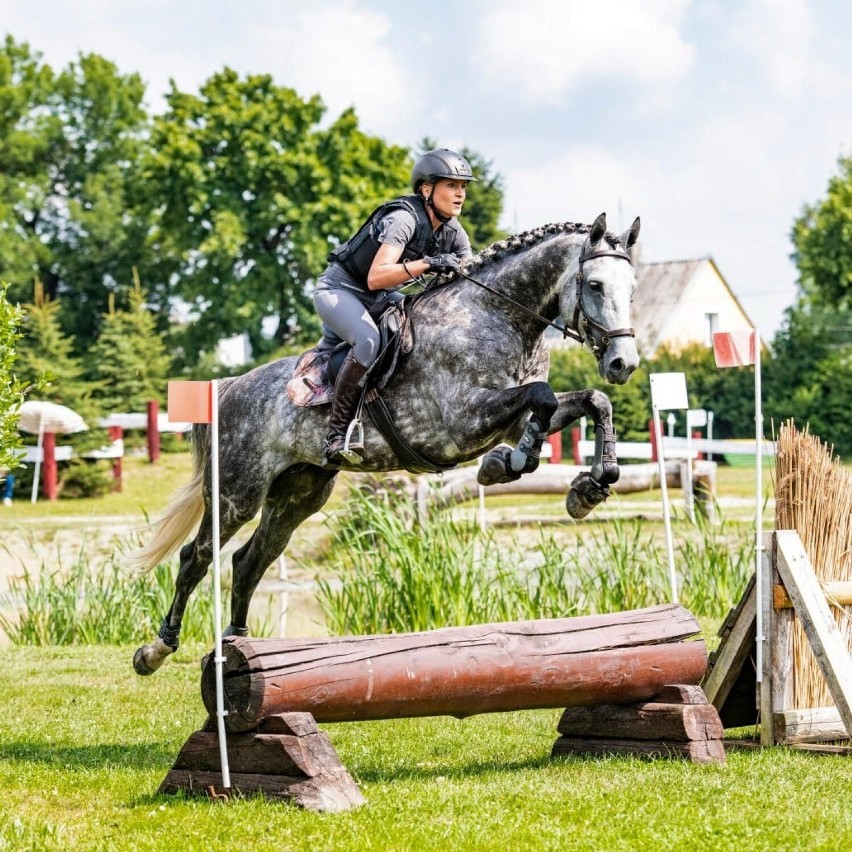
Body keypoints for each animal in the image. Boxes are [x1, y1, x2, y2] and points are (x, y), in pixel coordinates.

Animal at [131, 211, 640, 672]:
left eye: (632, 290)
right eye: (595, 285)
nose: (623, 363)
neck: (503, 318)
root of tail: (230, 387)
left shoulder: (506, 417)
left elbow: (587, 401)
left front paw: (587, 487)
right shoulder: (461, 420)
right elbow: (543, 396)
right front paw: (510, 464)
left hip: (299, 494)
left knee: (249, 561)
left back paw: (237, 645)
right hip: (236, 493)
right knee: (196, 557)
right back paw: (156, 650)